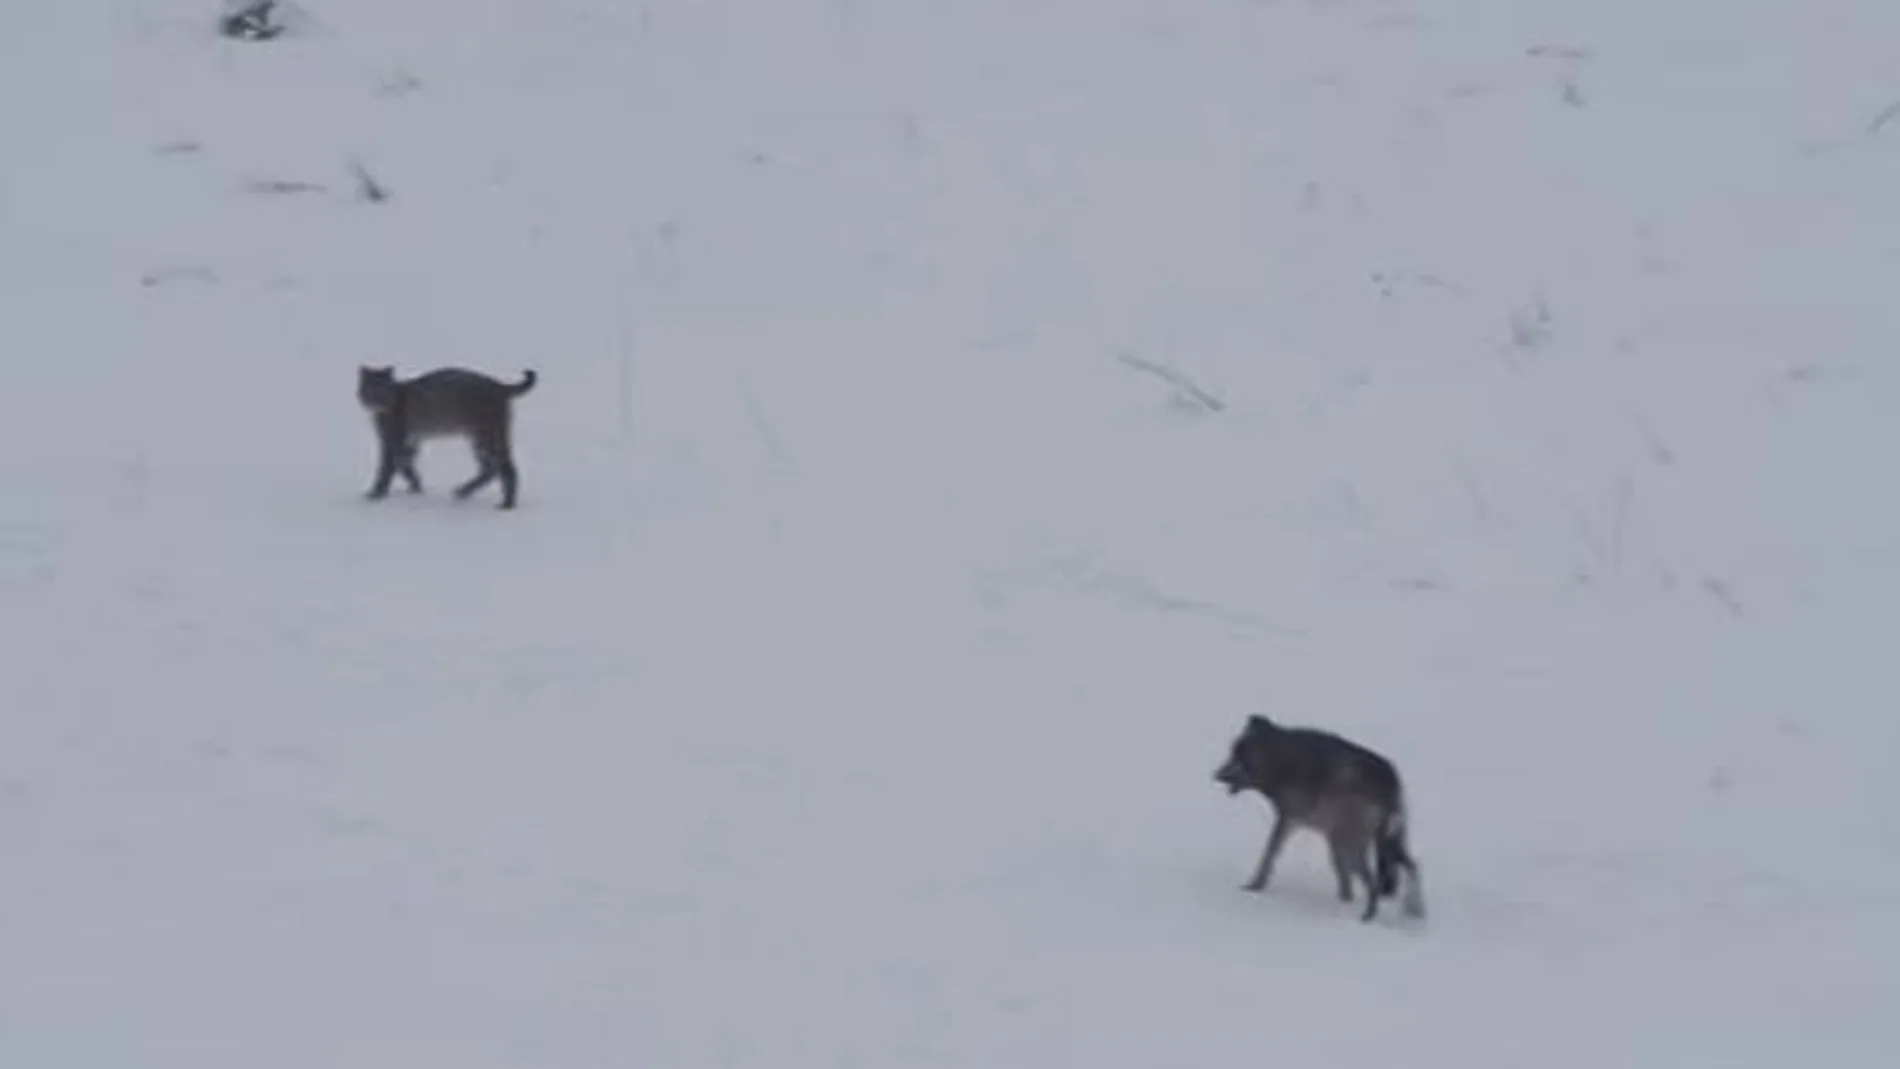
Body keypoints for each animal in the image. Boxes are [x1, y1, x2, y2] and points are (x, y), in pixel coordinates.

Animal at [357, 366, 539, 512]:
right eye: (370, 387)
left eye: (382, 388)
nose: (376, 399)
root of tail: (499, 385)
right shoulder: (411, 441)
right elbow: (404, 465)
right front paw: (416, 486)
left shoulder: (393, 441)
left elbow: (387, 468)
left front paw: (376, 494)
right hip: (484, 437)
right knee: (496, 467)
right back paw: (478, 495)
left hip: (486, 435)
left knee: (501, 468)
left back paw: (499, 501)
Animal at [1216, 713, 1428, 922]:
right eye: (1232, 753)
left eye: (1237, 756)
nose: (1215, 774)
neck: (1281, 760)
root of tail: (1391, 783)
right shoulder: (1323, 836)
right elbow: (1342, 878)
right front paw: (1344, 902)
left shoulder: (1288, 819)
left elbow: (1269, 853)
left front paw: (1254, 886)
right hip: (1379, 843)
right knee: (1412, 867)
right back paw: (1414, 912)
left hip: (1351, 845)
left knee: (1375, 882)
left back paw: (1367, 917)